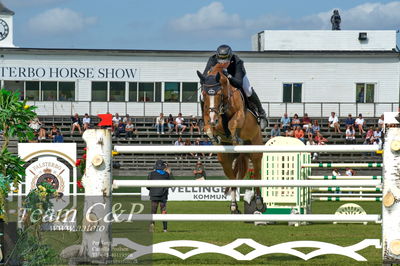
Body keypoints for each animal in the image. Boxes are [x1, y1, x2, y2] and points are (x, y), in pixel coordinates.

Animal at [197, 65, 266, 214]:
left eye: (218, 93)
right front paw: (214, 137)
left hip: (255, 152)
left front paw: (235, 137)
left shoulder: (239, 114)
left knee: (257, 175)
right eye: (204, 94)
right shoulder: (208, 115)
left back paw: (258, 203)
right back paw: (234, 206)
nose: (213, 119)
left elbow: (232, 123)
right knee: (233, 179)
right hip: (226, 159)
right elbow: (209, 127)